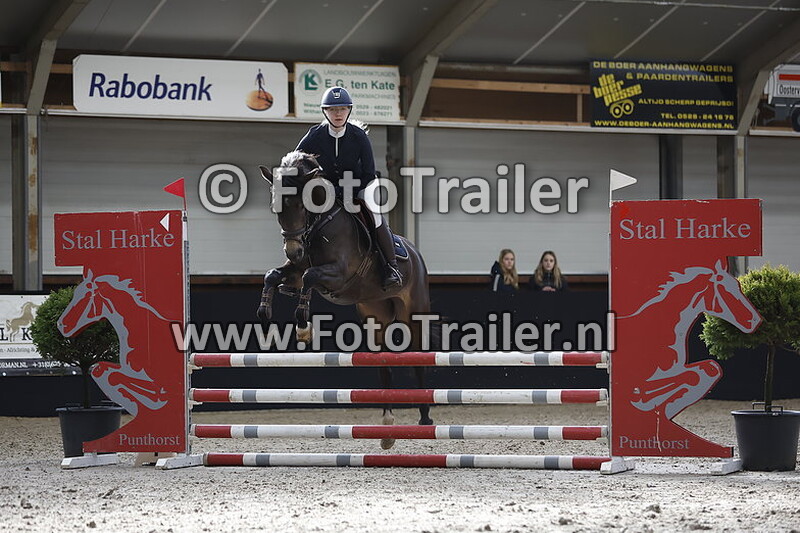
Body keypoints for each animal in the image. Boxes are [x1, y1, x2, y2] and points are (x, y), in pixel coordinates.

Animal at [257, 150, 434, 449]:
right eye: (276, 206)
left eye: (300, 205)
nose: (292, 251)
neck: (319, 223)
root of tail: (415, 252)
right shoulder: (295, 270)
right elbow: (274, 275)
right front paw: (265, 314)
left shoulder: (338, 274)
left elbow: (310, 277)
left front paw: (303, 327)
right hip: (376, 317)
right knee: (384, 366)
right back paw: (387, 425)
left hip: (414, 315)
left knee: (420, 360)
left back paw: (424, 417)